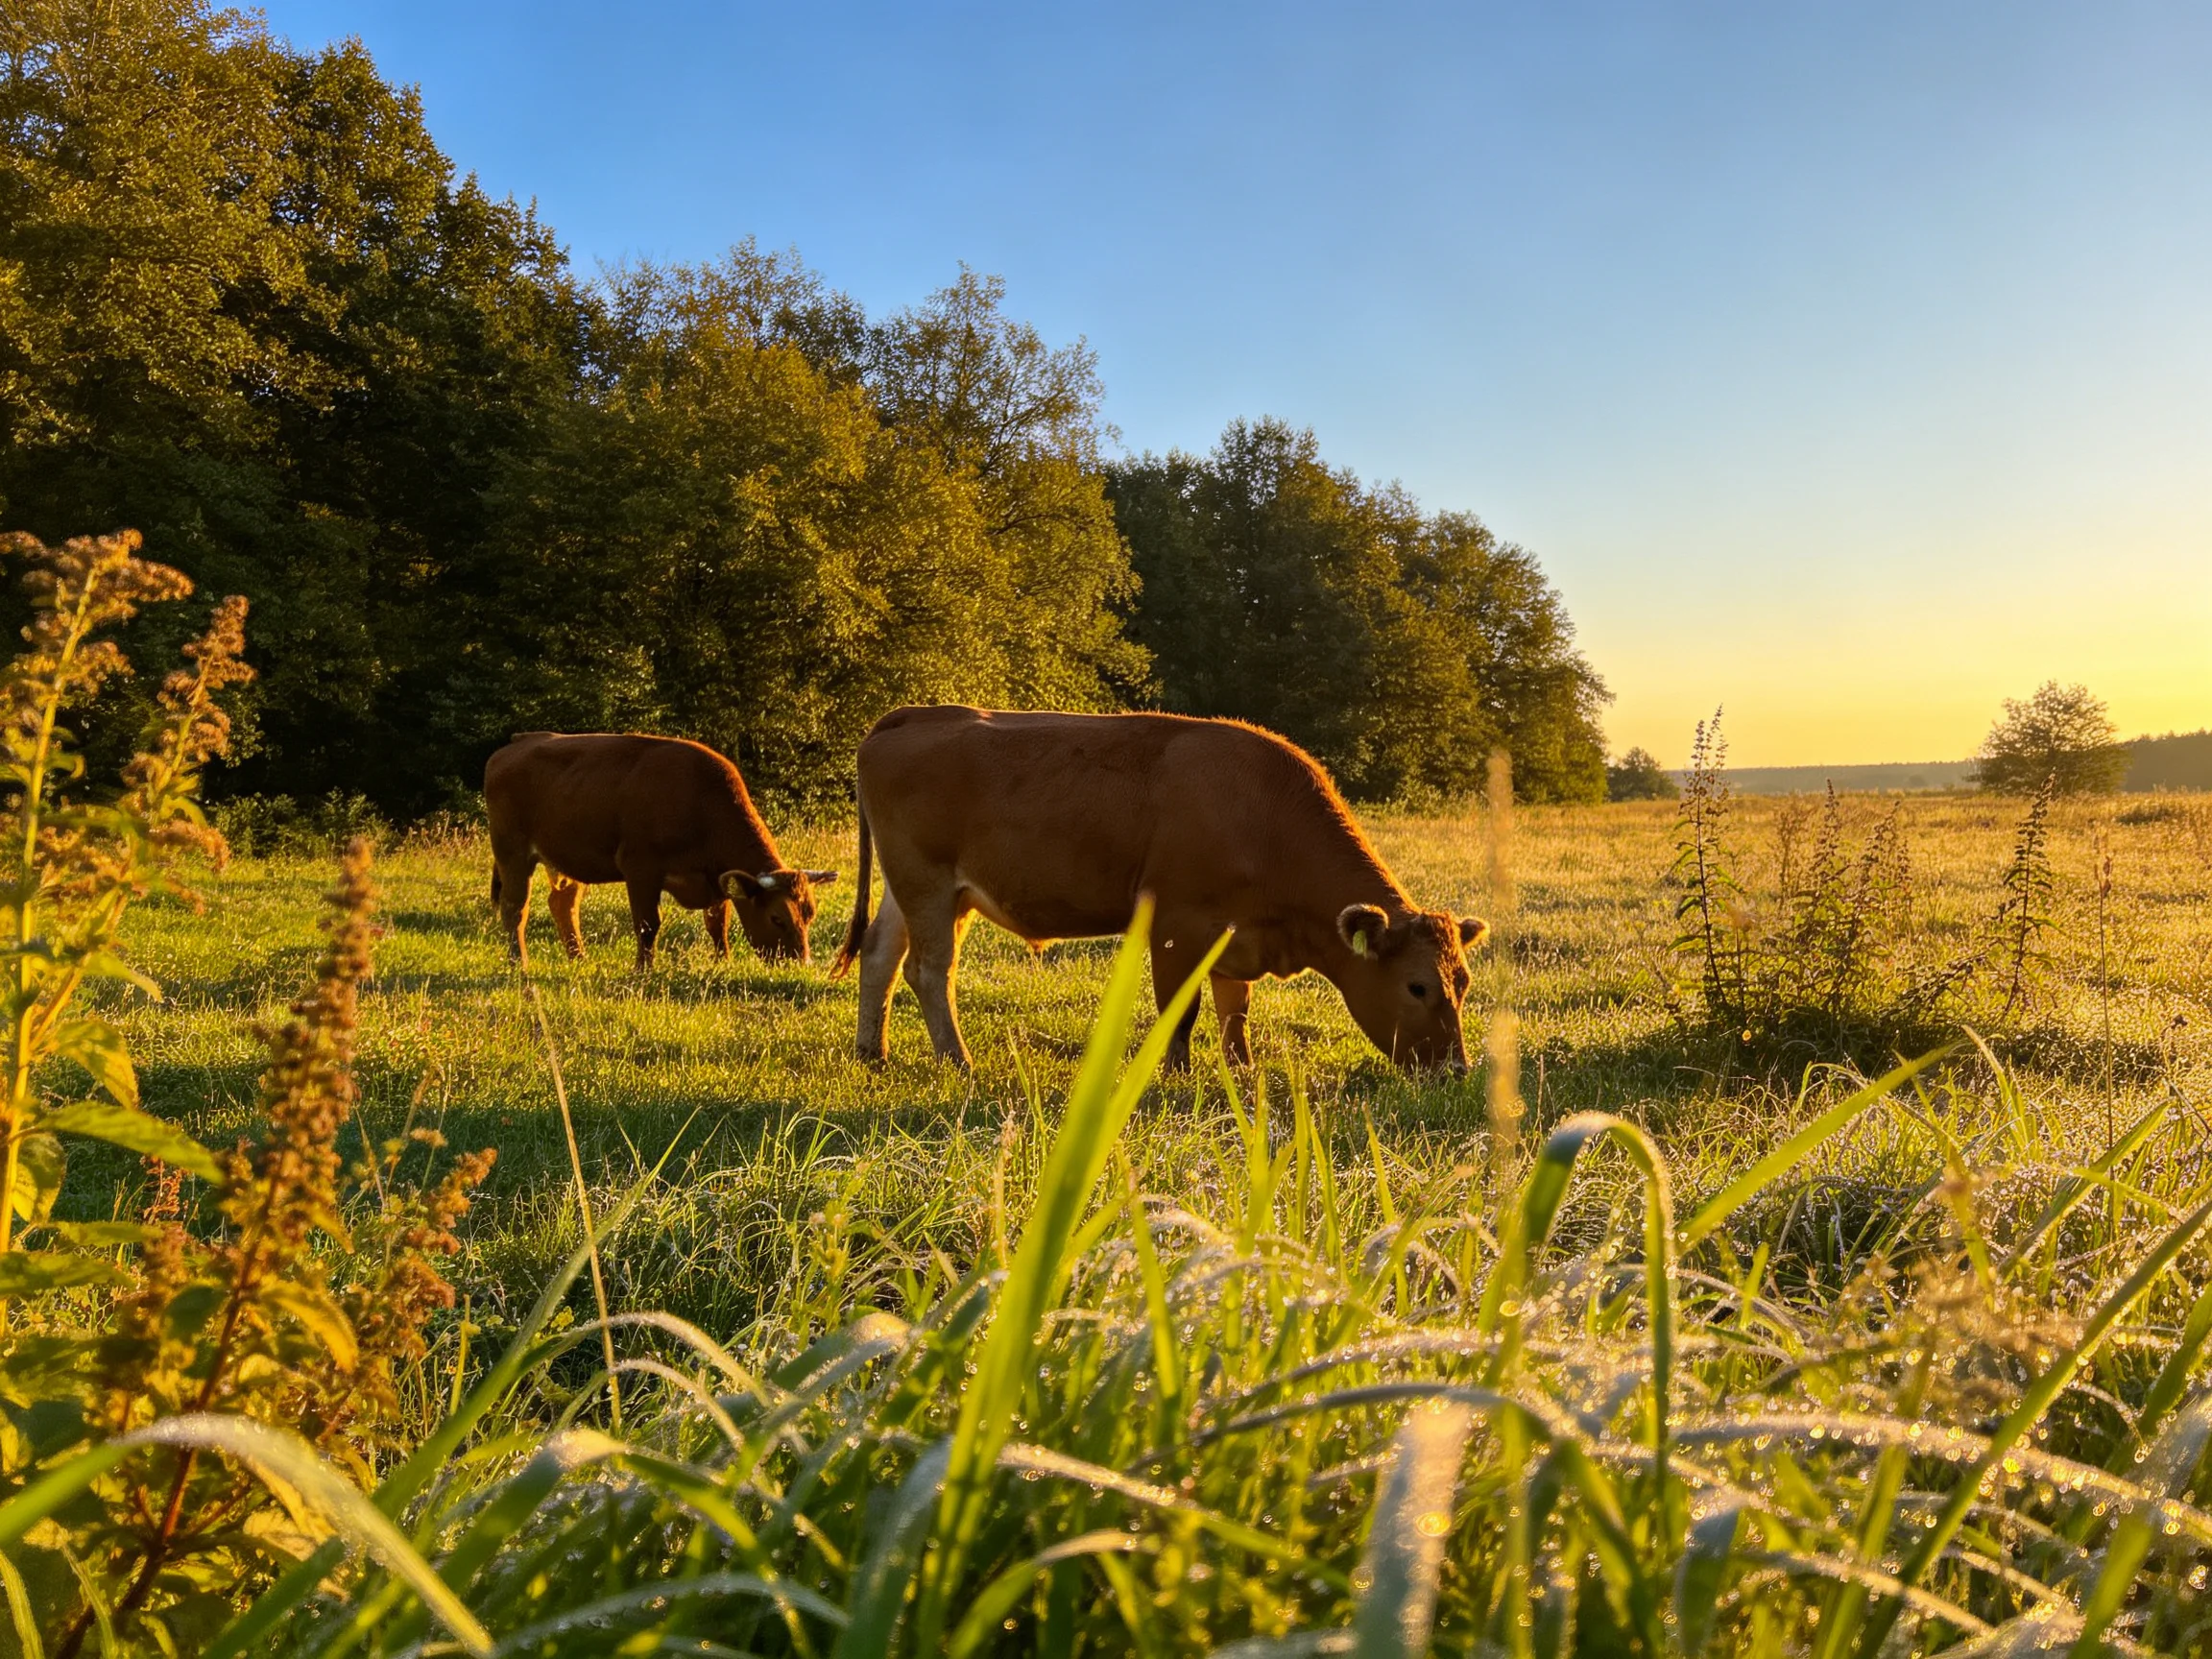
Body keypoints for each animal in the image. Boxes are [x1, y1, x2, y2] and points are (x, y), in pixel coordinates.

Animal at [484, 732, 835, 970]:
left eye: (810, 914)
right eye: (777, 918)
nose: (800, 964)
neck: (700, 803)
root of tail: (519, 741)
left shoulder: (715, 877)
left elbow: (717, 925)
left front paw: (723, 961)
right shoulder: (640, 868)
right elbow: (648, 923)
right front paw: (643, 969)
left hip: (566, 857)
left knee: (563, 904)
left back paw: (579, 957)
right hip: (511, 851)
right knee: (515, 908)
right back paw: (519, 962)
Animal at [831, 706, 1489, 1071]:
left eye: (1463, 983)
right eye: (1417, 986)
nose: (1455, 1071)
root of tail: (915, 712)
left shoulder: (1234, 936)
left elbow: (1233, 1012)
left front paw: (1241, 1072)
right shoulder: (1177, 924)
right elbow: (1182, 1008)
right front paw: (1176, 1074)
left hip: (910, 887)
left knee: (880, 955)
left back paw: (872, 1052)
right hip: (929, 883)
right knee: (928, 971)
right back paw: (959, 1062)